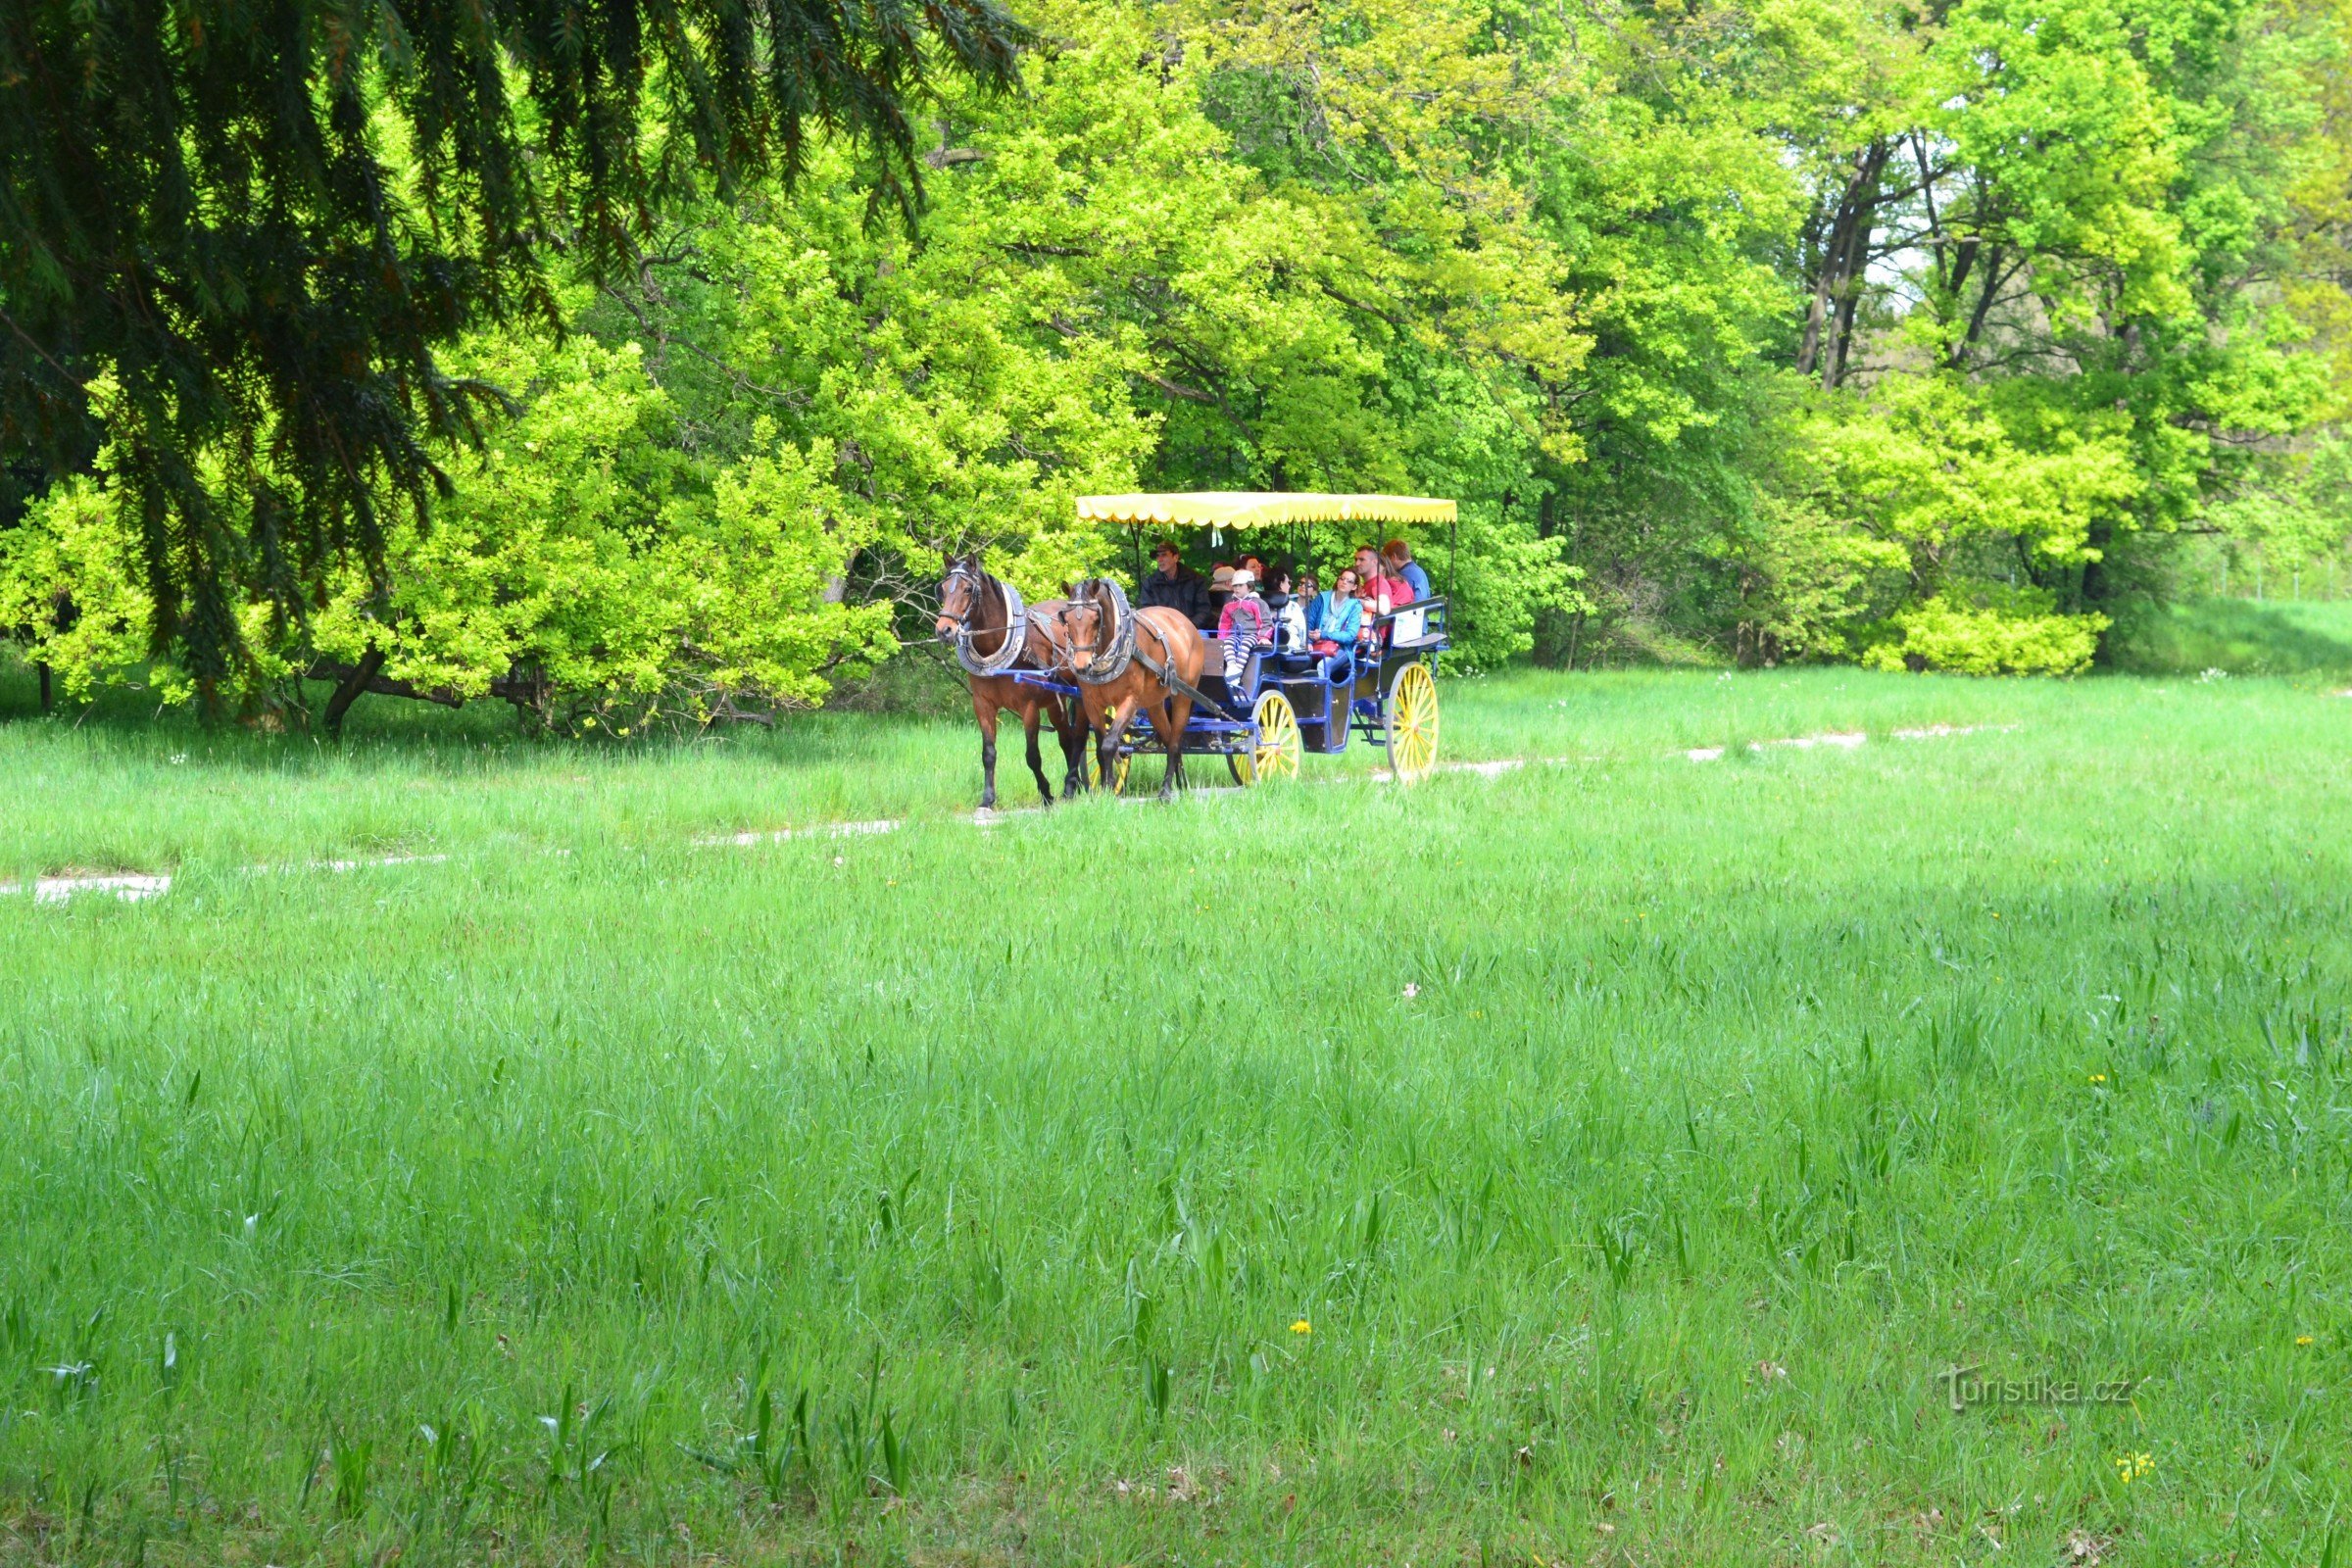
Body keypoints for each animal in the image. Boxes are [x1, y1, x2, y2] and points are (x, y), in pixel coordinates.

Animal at [931, 557, 1086, 808]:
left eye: (968, 589)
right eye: (942, 589)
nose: (944, 630)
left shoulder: (1029, 707)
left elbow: (1032, 756)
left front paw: (1046, 794)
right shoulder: (983, 705)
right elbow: (988, 753)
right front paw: (987, 799)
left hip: (1082, 696)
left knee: (1080, 738)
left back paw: (1071, 785)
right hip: (1056, 702)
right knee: (1066, 740)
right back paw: (1075, 786)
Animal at [1067, 575, 1213, 804]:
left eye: (1096, 619)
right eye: (1066, 619)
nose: (1082, 666)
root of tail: (1186, 623)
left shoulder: (1129, 701)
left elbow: (1110, 744)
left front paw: (1110, 789)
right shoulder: (1092, 704)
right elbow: (1100, 748)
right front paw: (1106, 788)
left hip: (1183, 696)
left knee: (1174, 743)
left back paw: (1165, 791)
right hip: (1154, 704)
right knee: (1170, 739)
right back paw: (1181, 784)